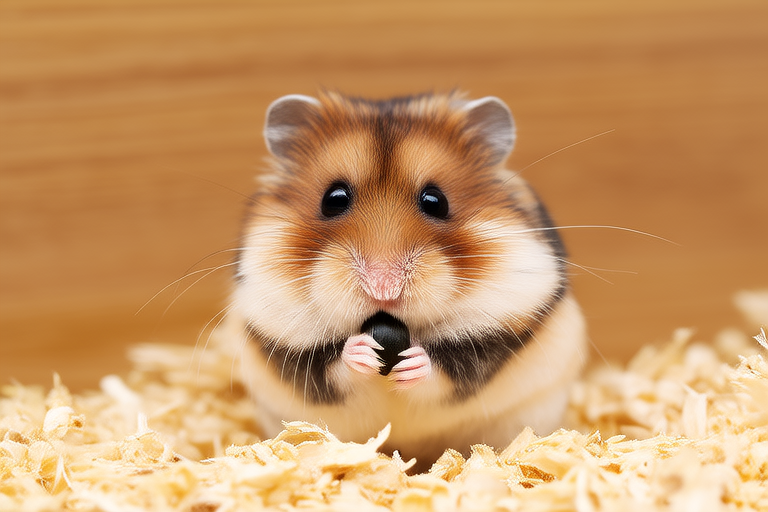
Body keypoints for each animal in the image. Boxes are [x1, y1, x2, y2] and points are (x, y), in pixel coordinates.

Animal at [231, 91, 587, 469]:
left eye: (436, 200)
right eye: (333, 199)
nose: (383, 288)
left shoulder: (495, 334)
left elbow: (448, 369)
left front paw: (413, 360)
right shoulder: (286, 342)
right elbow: (331, 368)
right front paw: (363, 350)